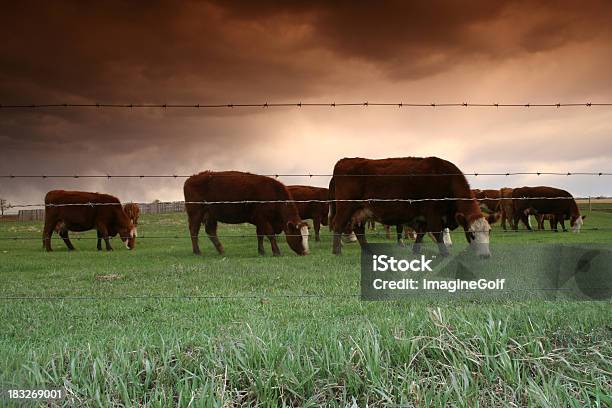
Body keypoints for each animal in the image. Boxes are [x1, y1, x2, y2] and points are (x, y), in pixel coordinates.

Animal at [330, 157, 492, 256]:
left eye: (489, 232)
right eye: (472, 233)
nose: (485, 255)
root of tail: (344, 161)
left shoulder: (425, 217)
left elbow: (421, 233)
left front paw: (416, 250)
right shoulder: (433, 213)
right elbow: (437, 233)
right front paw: (445, 253)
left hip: (362, 211)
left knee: (359, 230)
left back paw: (368, 251)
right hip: (346, 207)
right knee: (338, 225)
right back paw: (337, 251)